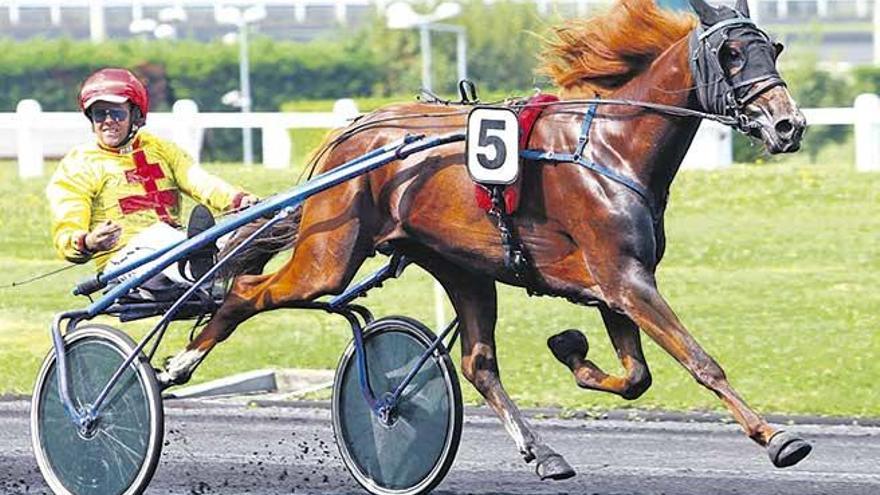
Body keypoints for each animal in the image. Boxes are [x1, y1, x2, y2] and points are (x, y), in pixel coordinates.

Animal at [160, 0, 812, 480]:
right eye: (730, 54)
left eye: (773, 47)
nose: (788, 125)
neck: (609, 147)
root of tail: (351, 133)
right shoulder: (624, 279)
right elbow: (701, 362)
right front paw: (776, 436)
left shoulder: (616, 283)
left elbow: (635, 377)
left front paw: (570, 349)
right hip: (331, 255)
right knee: (245, 289)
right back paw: (177, 365)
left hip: (463, 267)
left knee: (477, 363)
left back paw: (543, 452)